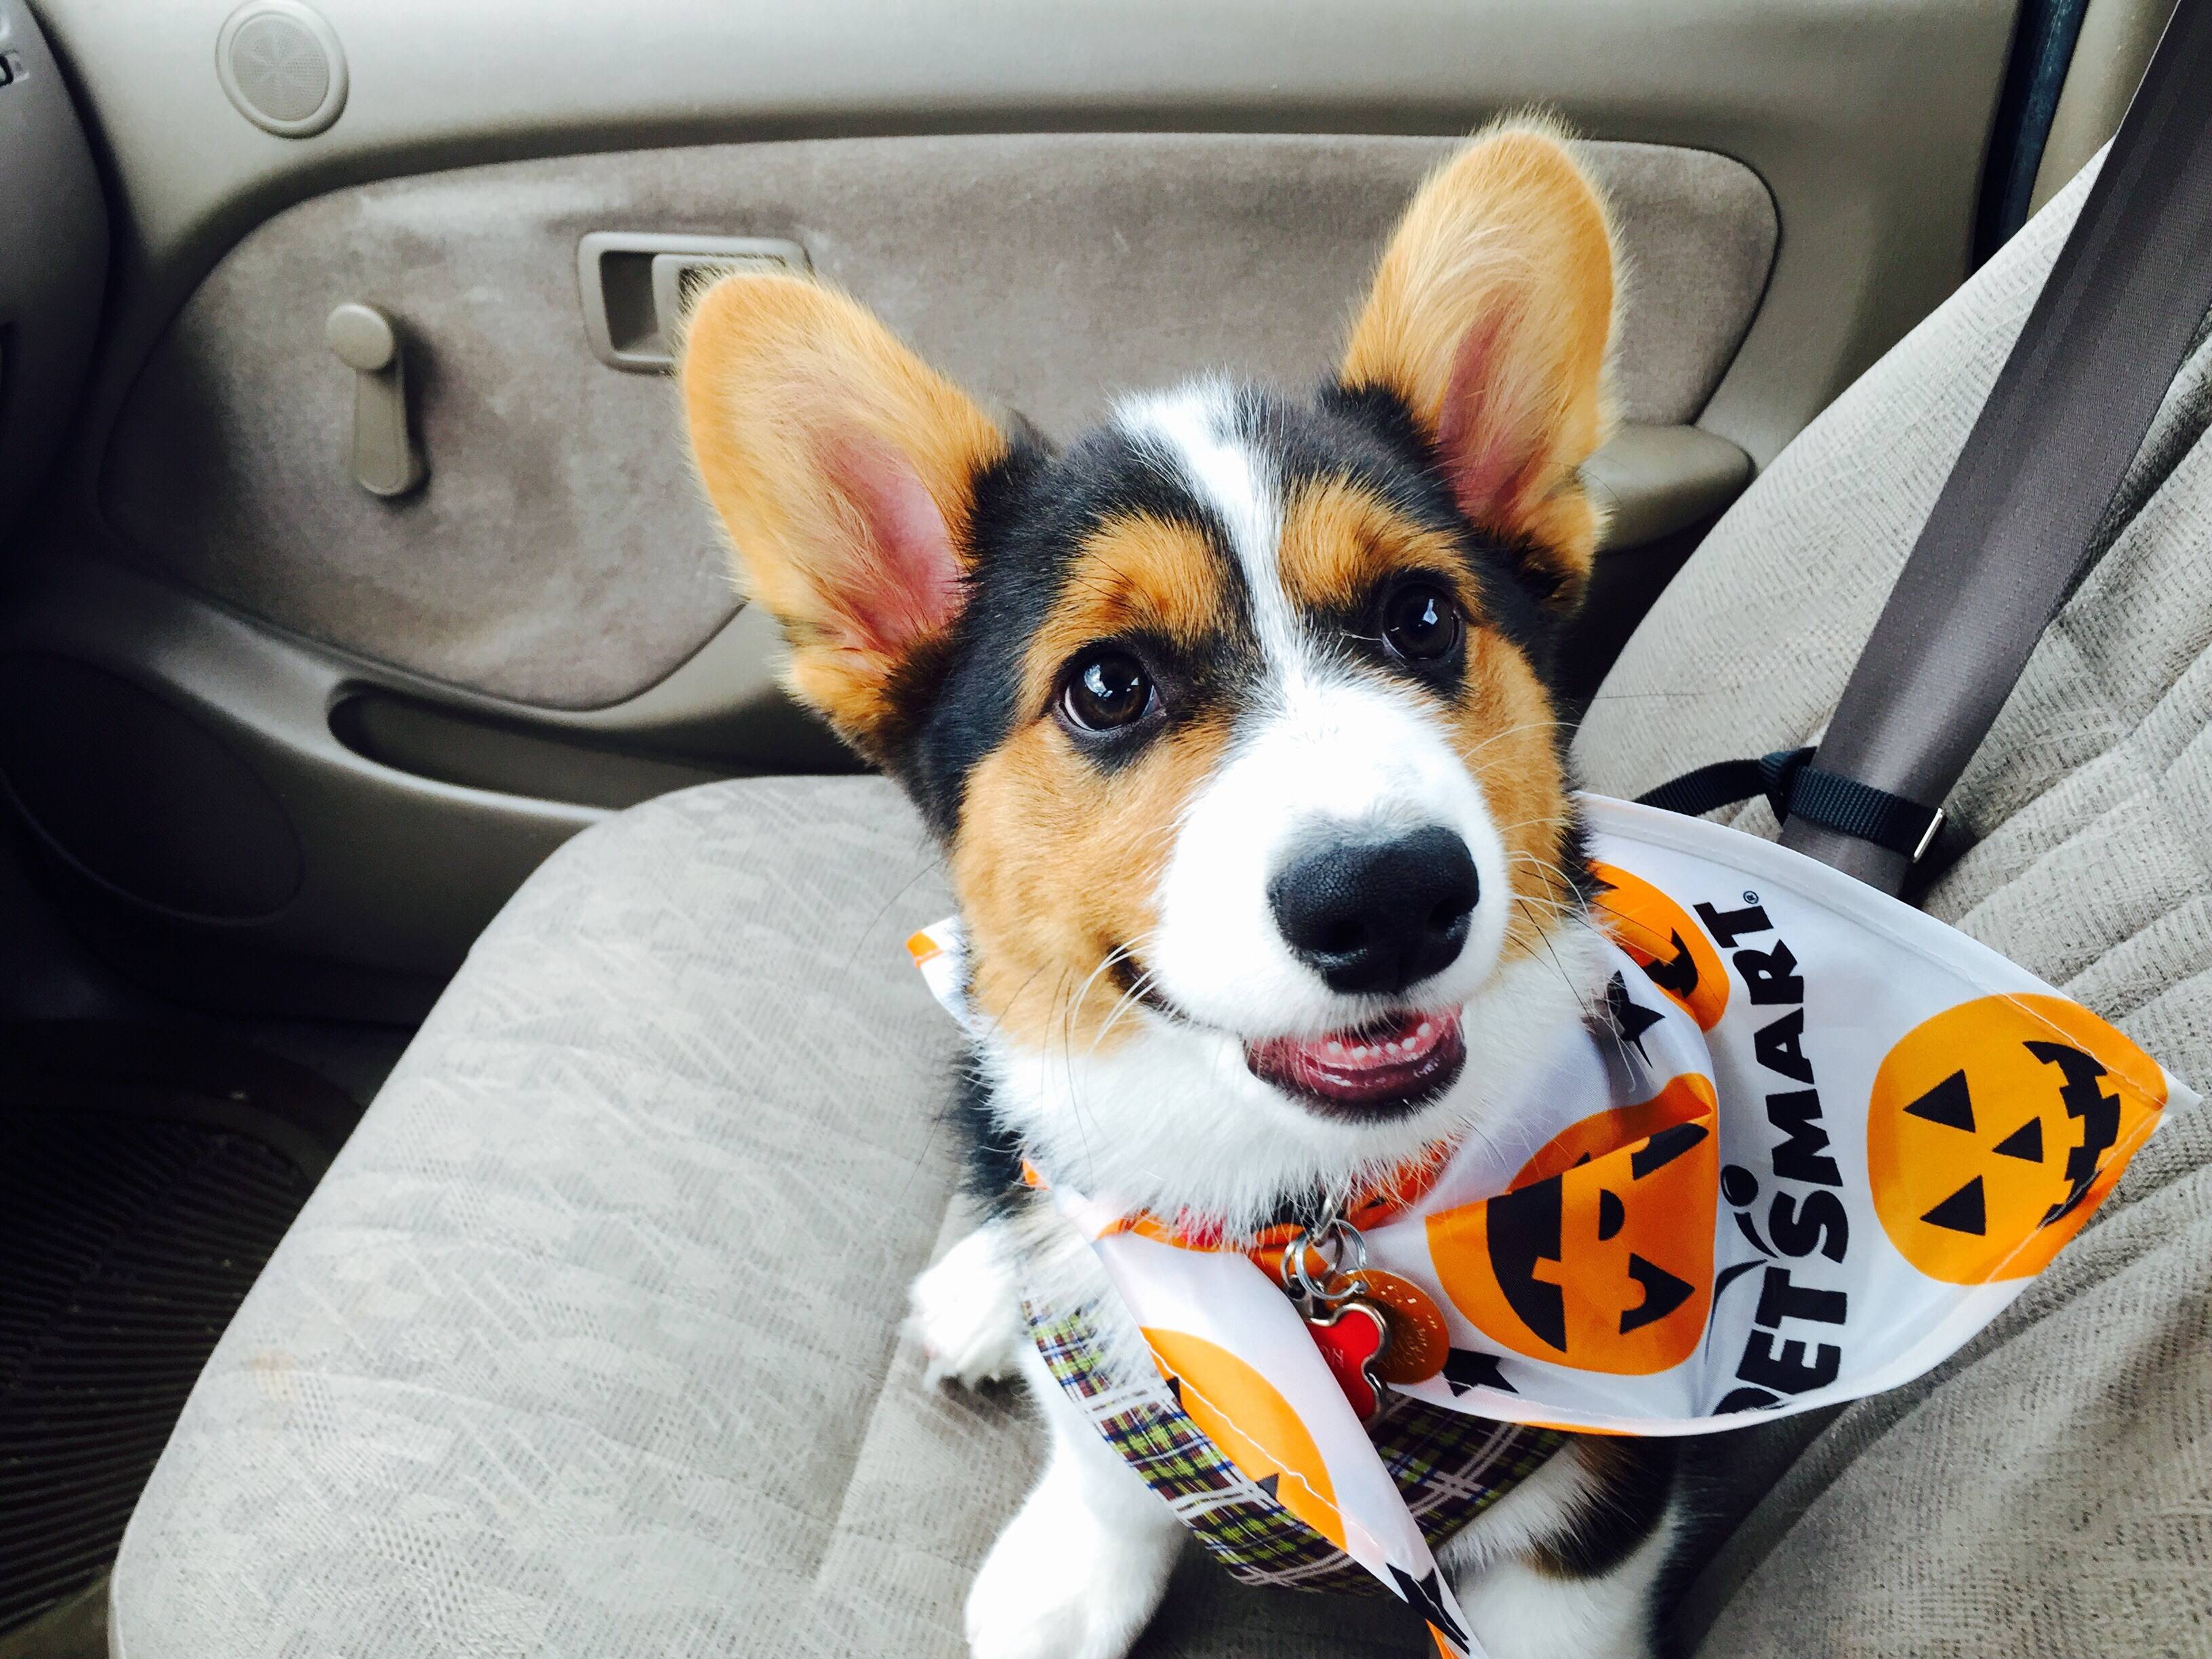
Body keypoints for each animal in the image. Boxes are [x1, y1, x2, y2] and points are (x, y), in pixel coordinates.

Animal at [681, 119, 1677, 1659]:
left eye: (1422, 618)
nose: (1388, 898)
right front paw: (1068, 1567)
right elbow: (1106, 1460)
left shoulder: (1589, 1521)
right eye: (1106, 687)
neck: (1296, 1218)